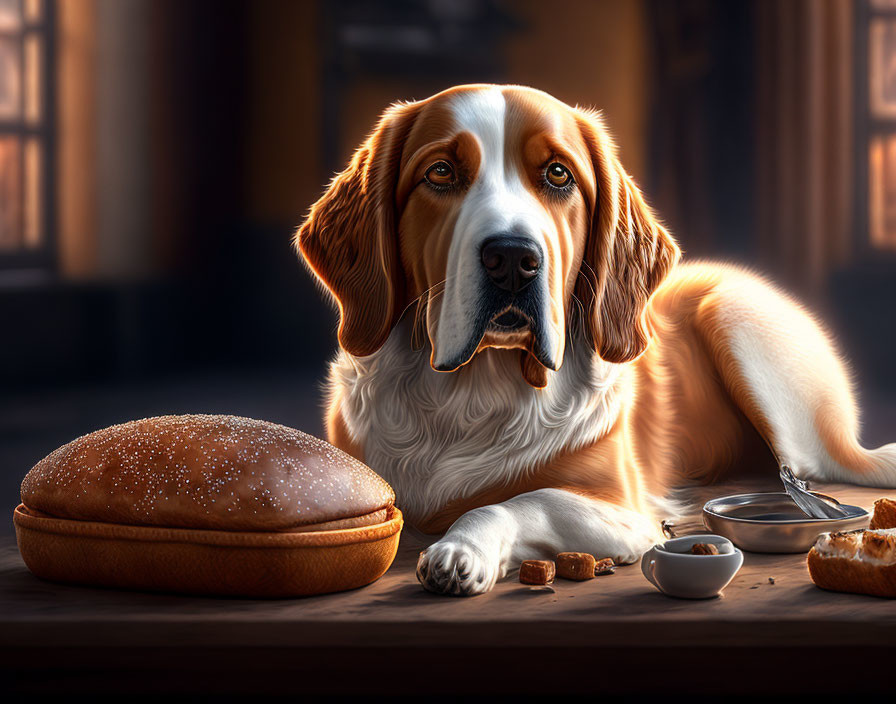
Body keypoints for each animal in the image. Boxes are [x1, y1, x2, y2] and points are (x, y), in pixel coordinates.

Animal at [296, 85, 896, 596]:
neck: (472, 392)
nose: (512, 258)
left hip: (739, 324)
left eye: (558, 174)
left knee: (819, 468)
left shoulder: (624, 511)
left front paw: (461, 548)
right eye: (440, 172)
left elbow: (523, 501)